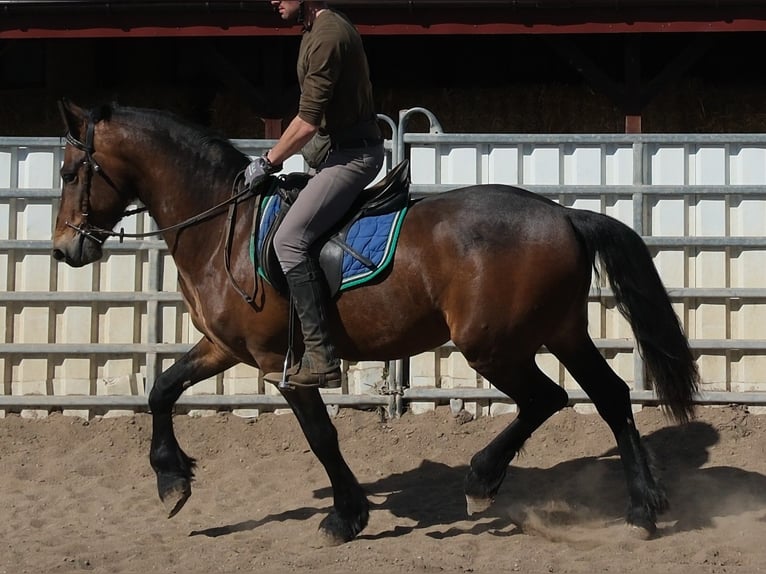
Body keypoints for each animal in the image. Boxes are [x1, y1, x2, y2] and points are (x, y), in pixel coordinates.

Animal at [52, 99, 699, 544]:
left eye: (68, 173)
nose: (63, 250)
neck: (222, 229)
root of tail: (564, 215)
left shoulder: (280, 361)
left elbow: (321, 435)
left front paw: (346, 516)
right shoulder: (223, 346)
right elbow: (161, 390)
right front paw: (172, 481)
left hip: (494, 345)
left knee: (546, 399)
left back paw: (482, 481)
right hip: (560, 332)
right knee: (610, 398)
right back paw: (643, 507)